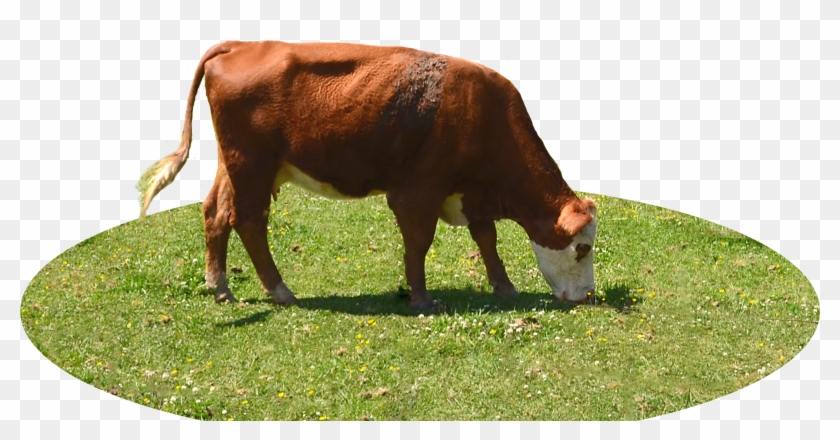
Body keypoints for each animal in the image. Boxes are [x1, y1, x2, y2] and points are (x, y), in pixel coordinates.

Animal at [138, 41, 597, 311]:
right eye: (582, 248)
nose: (589, 295)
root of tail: (241, 45)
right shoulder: (417, 191)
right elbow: (419, 242)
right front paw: (421, 298)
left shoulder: (470, 192)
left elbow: (487, 238)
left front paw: (504, 286)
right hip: (253, 166)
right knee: (249, 222)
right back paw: (280, 291)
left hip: (233, 165)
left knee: (215, 213)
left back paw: (219, 286)